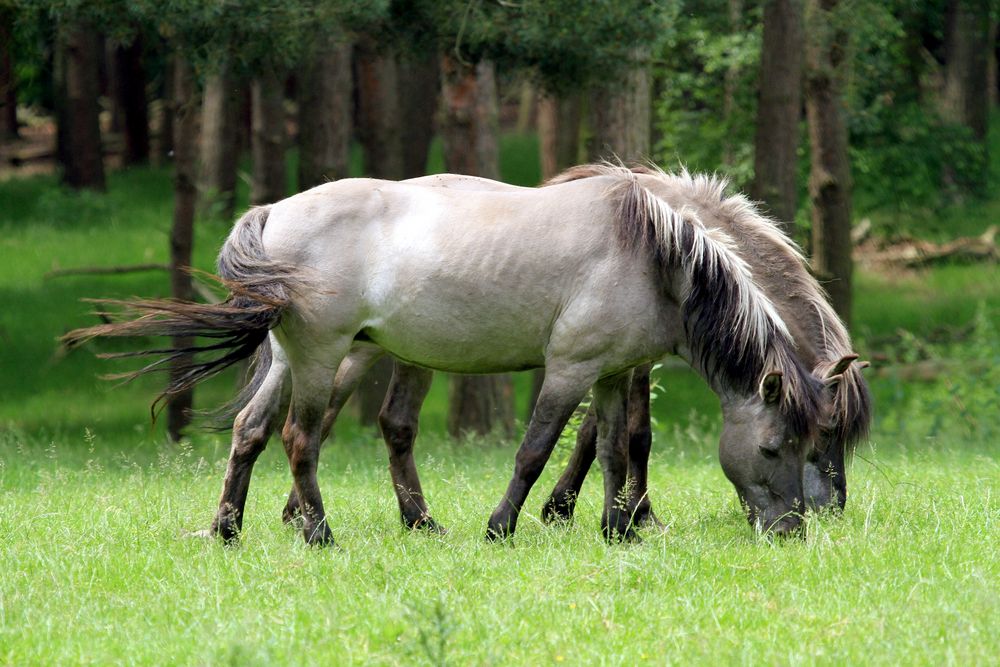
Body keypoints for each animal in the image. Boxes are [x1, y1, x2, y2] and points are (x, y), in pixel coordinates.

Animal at [66, 164, 824, 544]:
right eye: (774, 447)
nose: (791, 529)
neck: (650, 254)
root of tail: (274, 211)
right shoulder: (569, 370)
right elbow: (535, 449)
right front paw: (501, 526)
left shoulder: (610, 375)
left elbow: (614, 450)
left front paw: (618, 530)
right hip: (319, 361)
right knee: (299, 439)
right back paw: (319, 533)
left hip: (287, 361)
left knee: (252, 431)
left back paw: (228, 529)